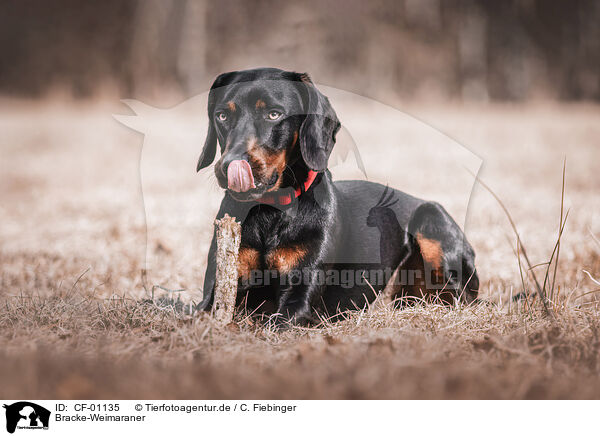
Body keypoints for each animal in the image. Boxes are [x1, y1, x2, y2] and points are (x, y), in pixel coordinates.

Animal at [197, 68, 478, 326]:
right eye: (222, 115)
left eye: (274, 114)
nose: (228, 166)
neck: (271, 211)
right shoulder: (218, 286)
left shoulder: (299, 298)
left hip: (432, 218)